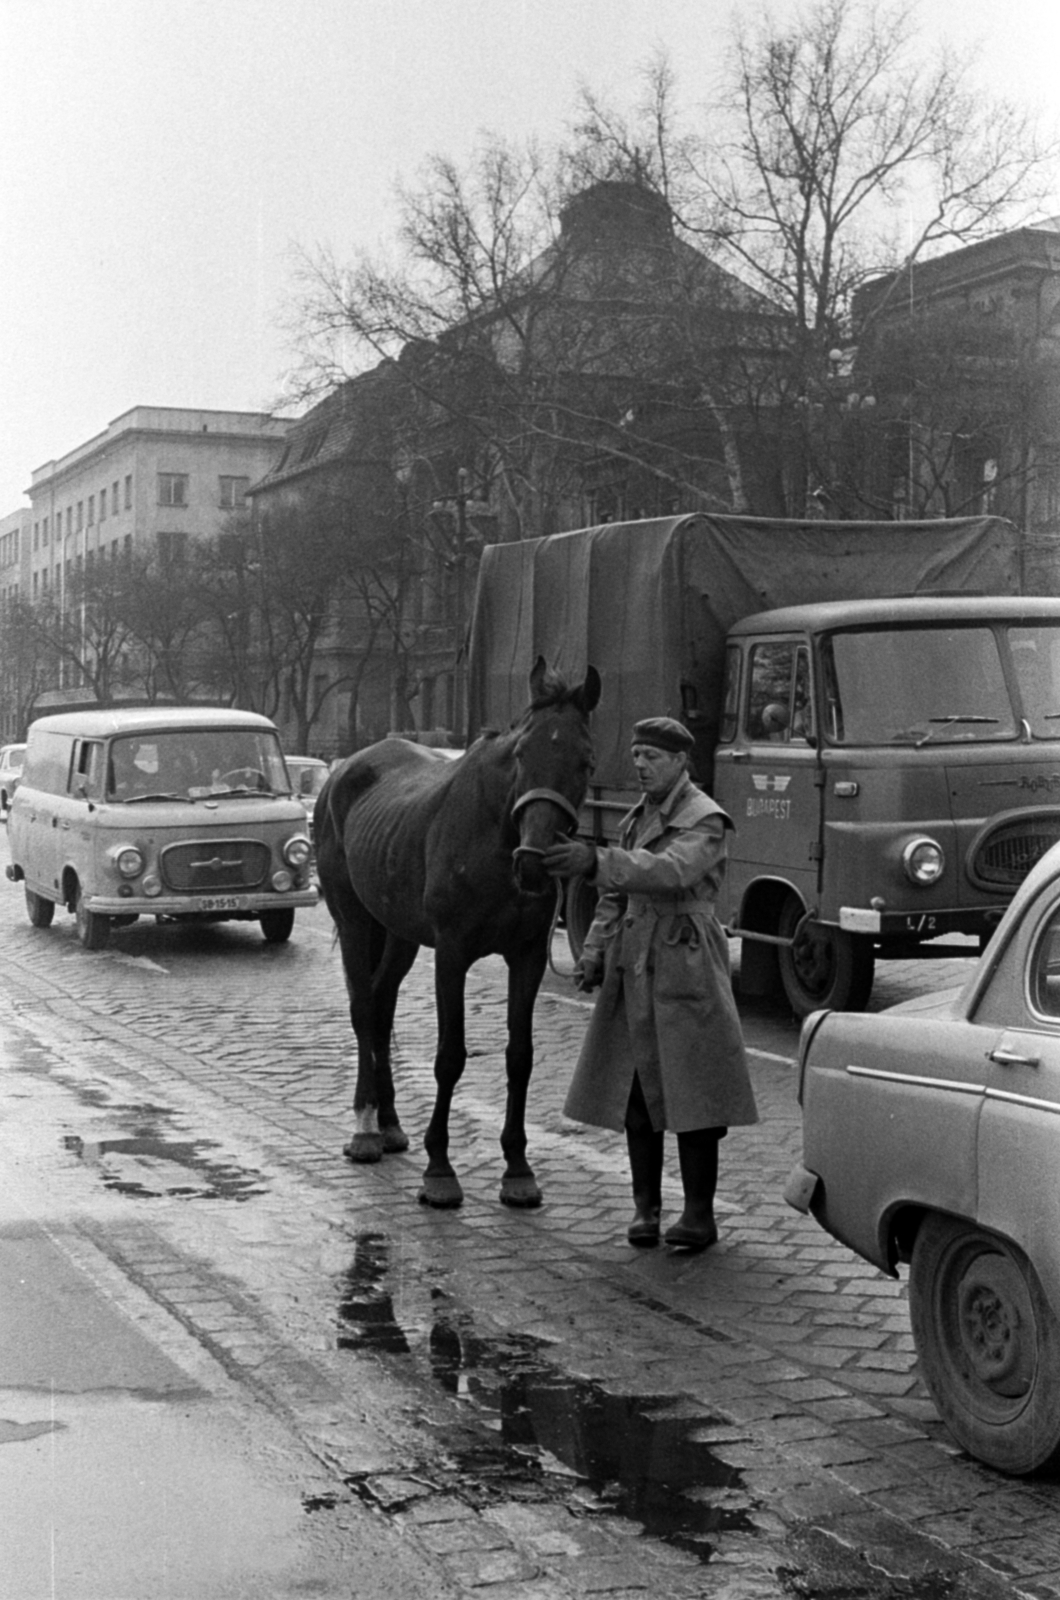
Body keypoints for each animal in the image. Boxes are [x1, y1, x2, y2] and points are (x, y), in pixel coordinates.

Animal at [312, 656, 602, 1203]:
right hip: (355, 919)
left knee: (381, 1006)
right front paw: (440, 1169)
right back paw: (365, 1128)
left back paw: (390, 1122)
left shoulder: (528, 956)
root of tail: (342, 770)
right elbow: (450, 1055)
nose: (534, 863)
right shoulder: (451, 953)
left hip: (399, 932)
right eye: (522, 753)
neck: (497, 834)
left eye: (586, 761)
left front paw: (517, 1167)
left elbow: (520, 1056)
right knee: (363, 1010)